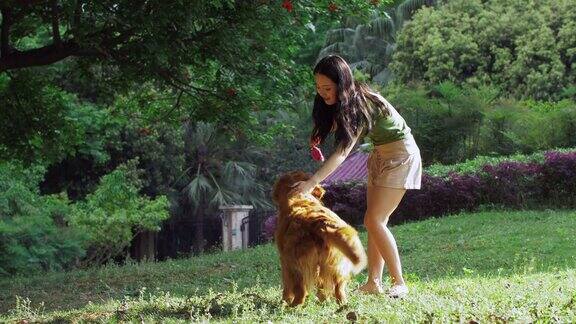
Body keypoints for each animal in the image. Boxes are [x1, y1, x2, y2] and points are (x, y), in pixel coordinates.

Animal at [272, 171, 366, 306]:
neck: (300, 197)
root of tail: (320, 223)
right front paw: (323, 299)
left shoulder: (284, 260)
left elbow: (287, 285)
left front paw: (285, 300)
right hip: (333, 262)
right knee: (338, 288)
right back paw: (340, 304)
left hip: (295, 262)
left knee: (300, 290)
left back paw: (293, 306)